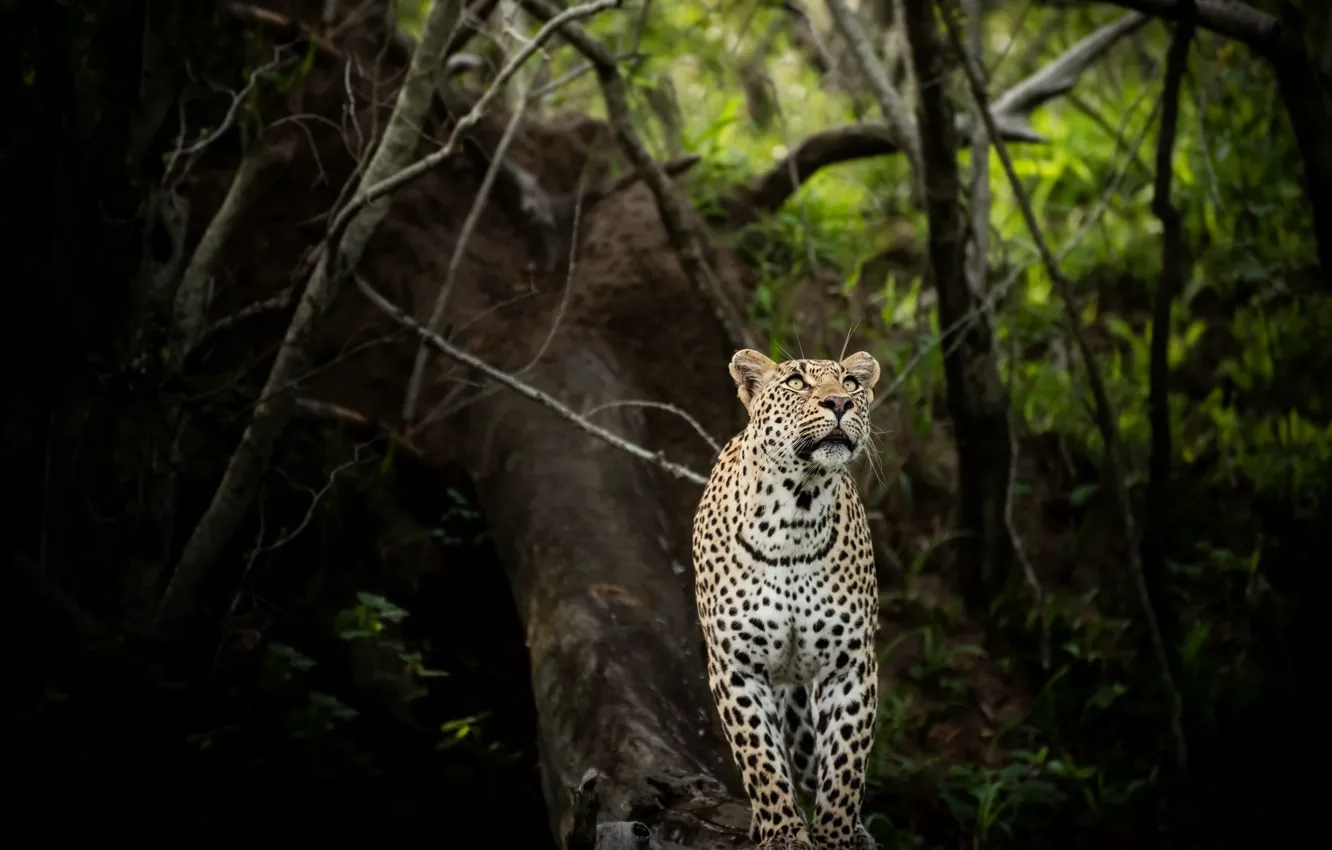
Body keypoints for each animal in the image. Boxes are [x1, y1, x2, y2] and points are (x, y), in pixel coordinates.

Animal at [692, 348, 883, 850]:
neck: (797, 513)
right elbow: (760, 760)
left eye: (851, 382)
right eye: (796, 382)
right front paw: (783, 833)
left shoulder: (849, 664)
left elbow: (845, 764)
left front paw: (835, 836)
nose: (840, 403)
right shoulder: (737, 666)